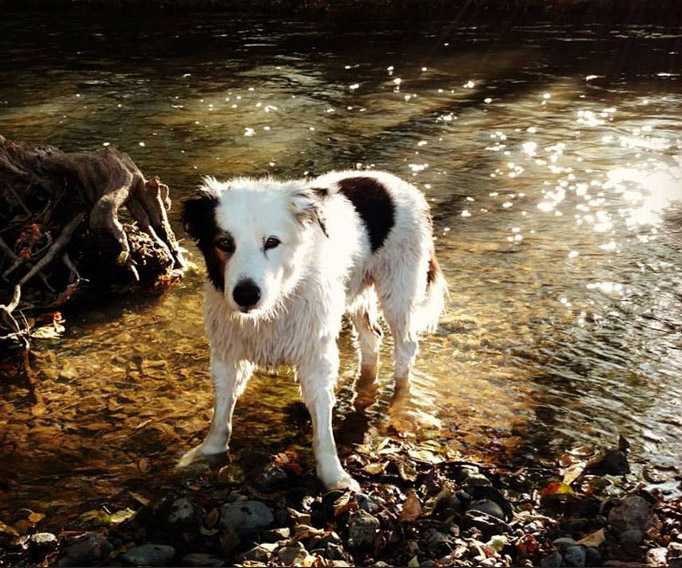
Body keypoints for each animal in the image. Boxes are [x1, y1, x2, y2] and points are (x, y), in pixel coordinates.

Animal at [179, 171, 446, 490]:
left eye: (272, 242)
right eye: (224, 242)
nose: (246, 295)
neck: (275, 305)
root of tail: (391, 180)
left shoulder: (316, 356)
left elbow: (322, 428)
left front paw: (333, 475)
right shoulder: (227, 352)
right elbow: (221, 413)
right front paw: (208, 452)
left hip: (399, 290)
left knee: (405, 348)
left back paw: (398, 398)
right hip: (355, 291)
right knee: (371, 338)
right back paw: (365, 383)